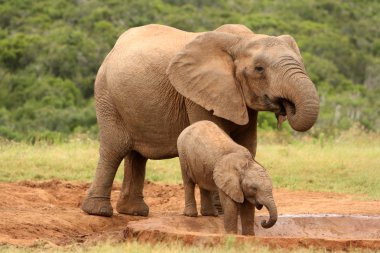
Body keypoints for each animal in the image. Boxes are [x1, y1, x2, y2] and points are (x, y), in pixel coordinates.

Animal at [81, 24, 320, 216]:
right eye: (259, 69)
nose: (285, 107)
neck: (240, 39)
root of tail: (113, 49)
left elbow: (247, 145)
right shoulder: (197, 95)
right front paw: (221, 213)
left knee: (137, 155)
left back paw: (134, 212)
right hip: (107, 96)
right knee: (115, 148)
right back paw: (99, 212)